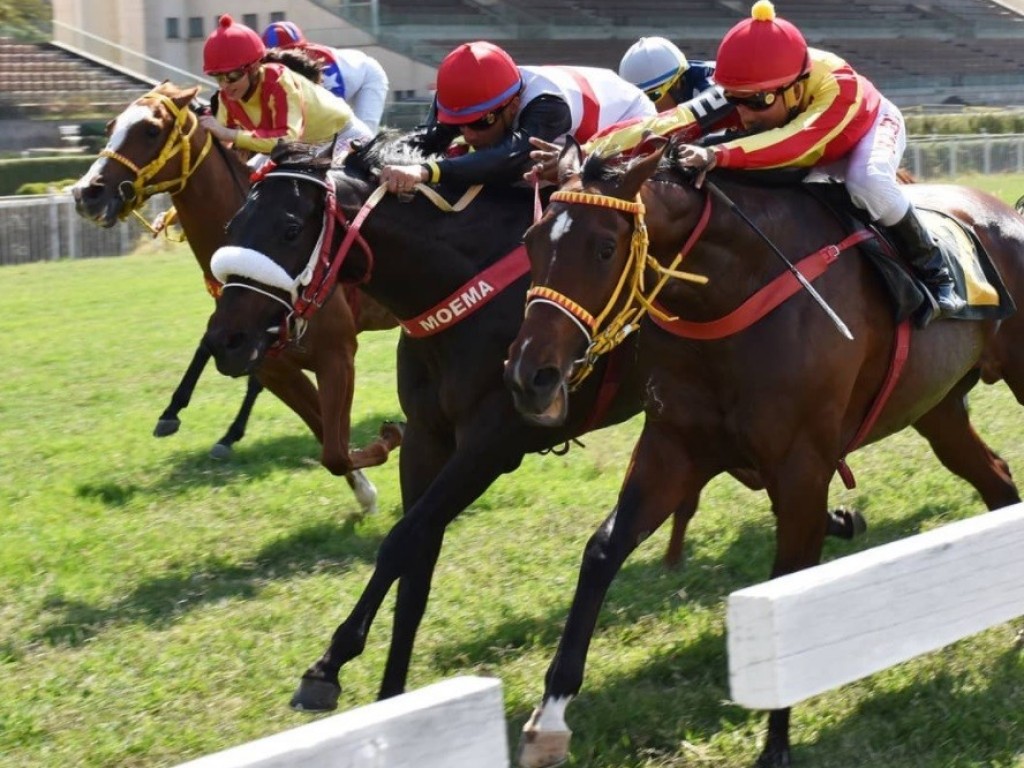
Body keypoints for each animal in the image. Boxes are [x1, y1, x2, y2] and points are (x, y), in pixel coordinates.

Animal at [71, 82, 399, 518]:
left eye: (151, 130)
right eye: (109, 127)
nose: (86, 193)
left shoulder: (337, 353)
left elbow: (336, 441)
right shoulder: (274, 367)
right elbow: (329, 439)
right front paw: (365, 491)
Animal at [198, 137, 655, 716]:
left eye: (289, 228)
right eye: (232, 224)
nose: (225, 339)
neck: (466, 291)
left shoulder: (492, 444)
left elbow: (400, 541)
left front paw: (327, 666)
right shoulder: (425, 436)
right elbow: (417, 565)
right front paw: (391, 694)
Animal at [503, 140, 1024, 768]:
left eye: (605, 247)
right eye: (530, 241)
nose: (530, 375)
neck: (731, 292)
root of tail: (1008, 213)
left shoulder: (802, 467)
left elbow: (786, 581)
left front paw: (775, 744)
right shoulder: (673, 445)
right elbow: (603, 552)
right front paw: (550, 718)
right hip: (938, 409)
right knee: (998, 482)